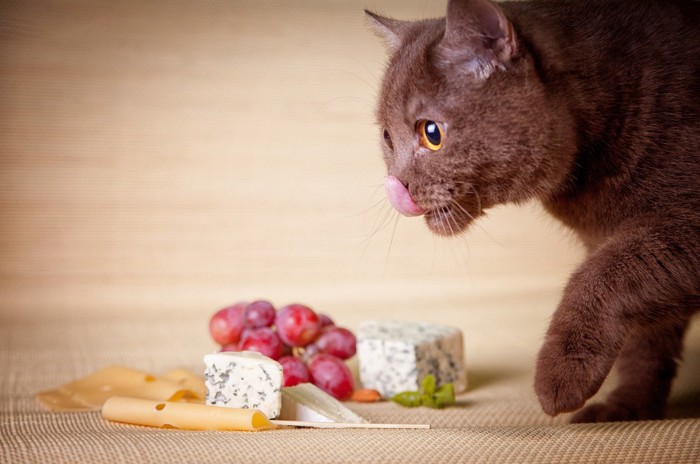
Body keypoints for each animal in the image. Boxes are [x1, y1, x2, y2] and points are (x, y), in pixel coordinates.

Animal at [370, 0, 696, 422]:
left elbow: (604, 275)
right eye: (387, 137)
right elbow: (647, 335)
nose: (396, 188)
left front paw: (561, 377)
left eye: (432, 133)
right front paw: (629, 407)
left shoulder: (679, 225)